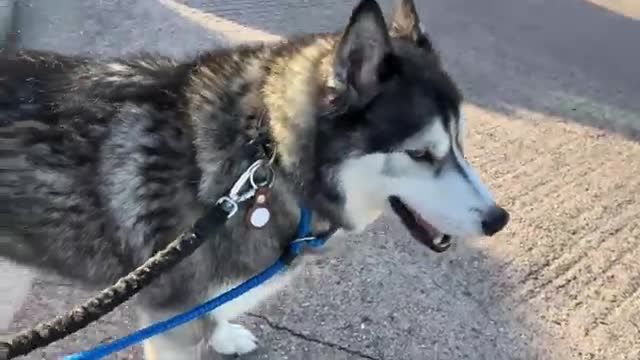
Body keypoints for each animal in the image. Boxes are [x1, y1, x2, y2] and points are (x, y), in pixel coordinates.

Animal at [1, 0, 510, 358]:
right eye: (421, 153)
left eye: (460, 143)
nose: (497, 220)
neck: (268, 161)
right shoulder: (172, 323)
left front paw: (223, 335)